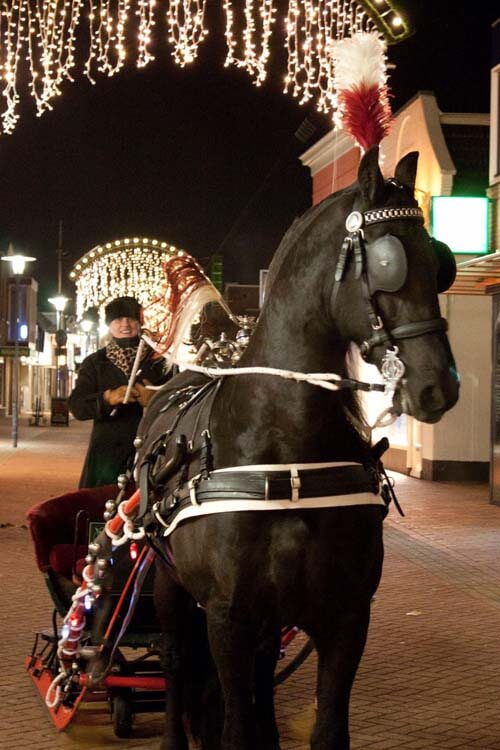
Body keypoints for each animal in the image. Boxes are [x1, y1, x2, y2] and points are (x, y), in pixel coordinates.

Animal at [137, 148, 460, 750]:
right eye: (387, 262)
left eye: (441, 263)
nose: (438, 385)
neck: (286, 455)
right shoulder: (226, 618)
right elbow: (235, 727)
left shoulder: (346, 616)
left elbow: (327, 729)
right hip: (169, 587)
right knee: (174, 664)